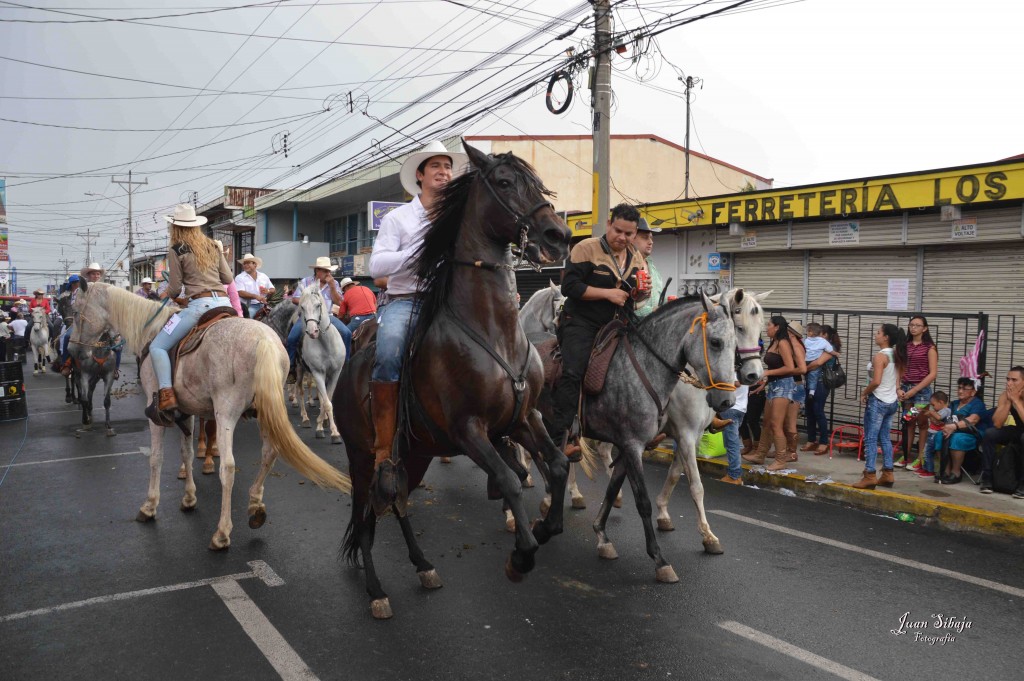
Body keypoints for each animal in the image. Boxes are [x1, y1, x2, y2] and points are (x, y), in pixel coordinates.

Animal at [294, 284, 346, 444]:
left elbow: (327, 399)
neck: (325, 344)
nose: (312, 332)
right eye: (302, 307)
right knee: (300, 390)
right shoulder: (317, 373)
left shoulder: (335, 373)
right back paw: (305, 418)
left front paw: (326, 425)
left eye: (318, 305)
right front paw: (326, 430)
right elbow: (327, 403)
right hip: (300, 370)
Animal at [337, 140, 573, 618]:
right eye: (504, 182)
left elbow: (556, 465)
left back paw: (423, 565)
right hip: (362, 456)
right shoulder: (468, 429)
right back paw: (376, 590)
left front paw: (544, 527)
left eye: (538, 183)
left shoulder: (525, 418)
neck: (495, 331)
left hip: (414, 454)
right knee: (368, 513)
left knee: (398, 503)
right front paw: (521, 557)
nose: (558, 236)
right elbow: (508, 480)